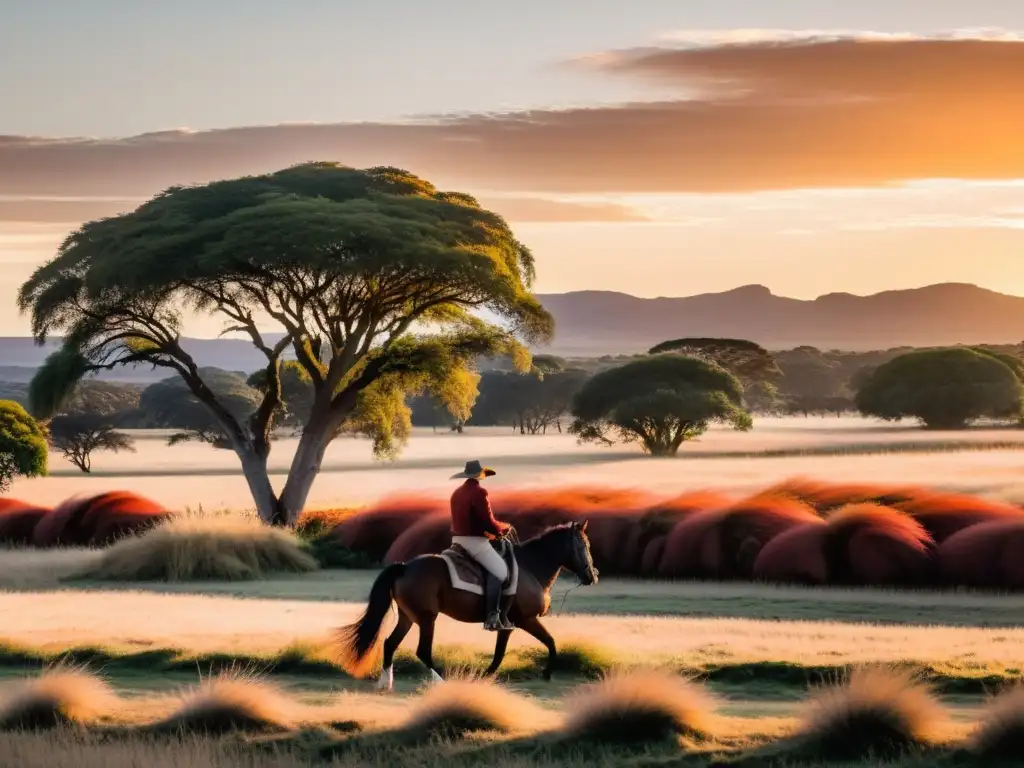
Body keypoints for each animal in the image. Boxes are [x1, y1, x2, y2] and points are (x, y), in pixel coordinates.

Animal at [335, 524, 598, 692]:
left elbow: (500, 654)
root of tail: (405, 567)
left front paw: (486, 677)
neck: (530, 567)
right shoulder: (526, 620)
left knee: (390, 643)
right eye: (584, 545)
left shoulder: (507, 625)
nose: (592, 576)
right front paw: (546, 673)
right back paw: (443, 682)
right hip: (427, 619)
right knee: (423, 651)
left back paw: (385, 683)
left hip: (408, 618)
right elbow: (550, 642)